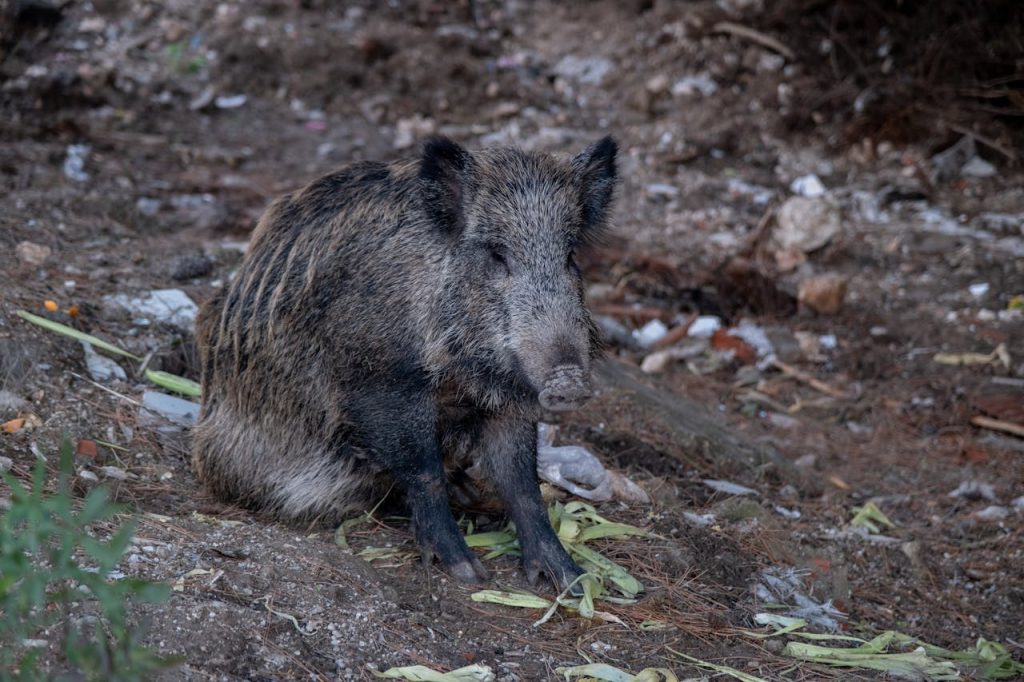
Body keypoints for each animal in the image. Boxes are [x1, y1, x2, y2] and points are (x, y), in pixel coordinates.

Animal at [192, 135, 618, 590]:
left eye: (570, 256)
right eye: (497, 254)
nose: (570, 379)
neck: (460, 373)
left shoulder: (506, 400)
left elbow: (522, 483)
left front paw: (572, 581)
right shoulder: (381, 384)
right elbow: (422, 470)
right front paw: (468, 573)